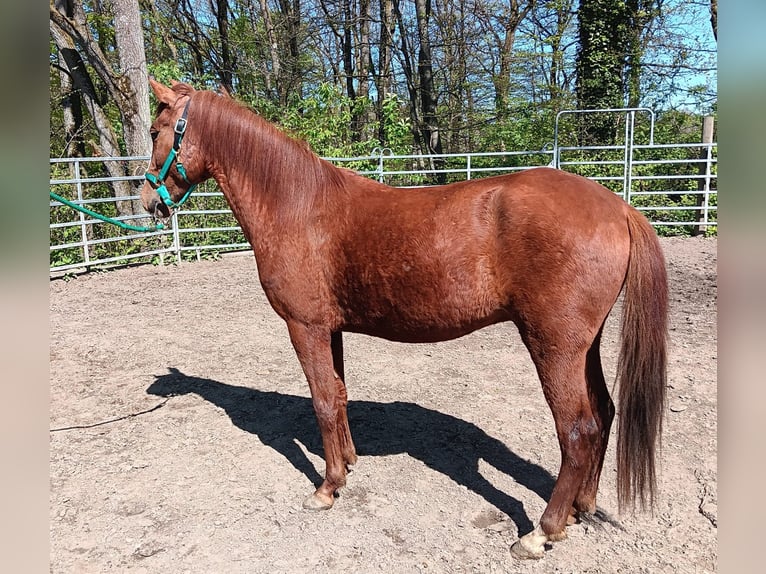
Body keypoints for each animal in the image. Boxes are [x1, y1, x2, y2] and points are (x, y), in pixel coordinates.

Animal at [141, 79, 668, 559]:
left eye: (155, 130)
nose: (149, 202)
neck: (298, 204)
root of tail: (617, 207)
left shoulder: (305, 327)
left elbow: (322, 402)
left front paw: (327, 488)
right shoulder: (331, 329)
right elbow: (339, 395)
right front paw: (348, 463)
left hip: (553, 346)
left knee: (578, 430)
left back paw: (542, 532)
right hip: (585, 345)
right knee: (603, 414)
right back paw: (580, 507)